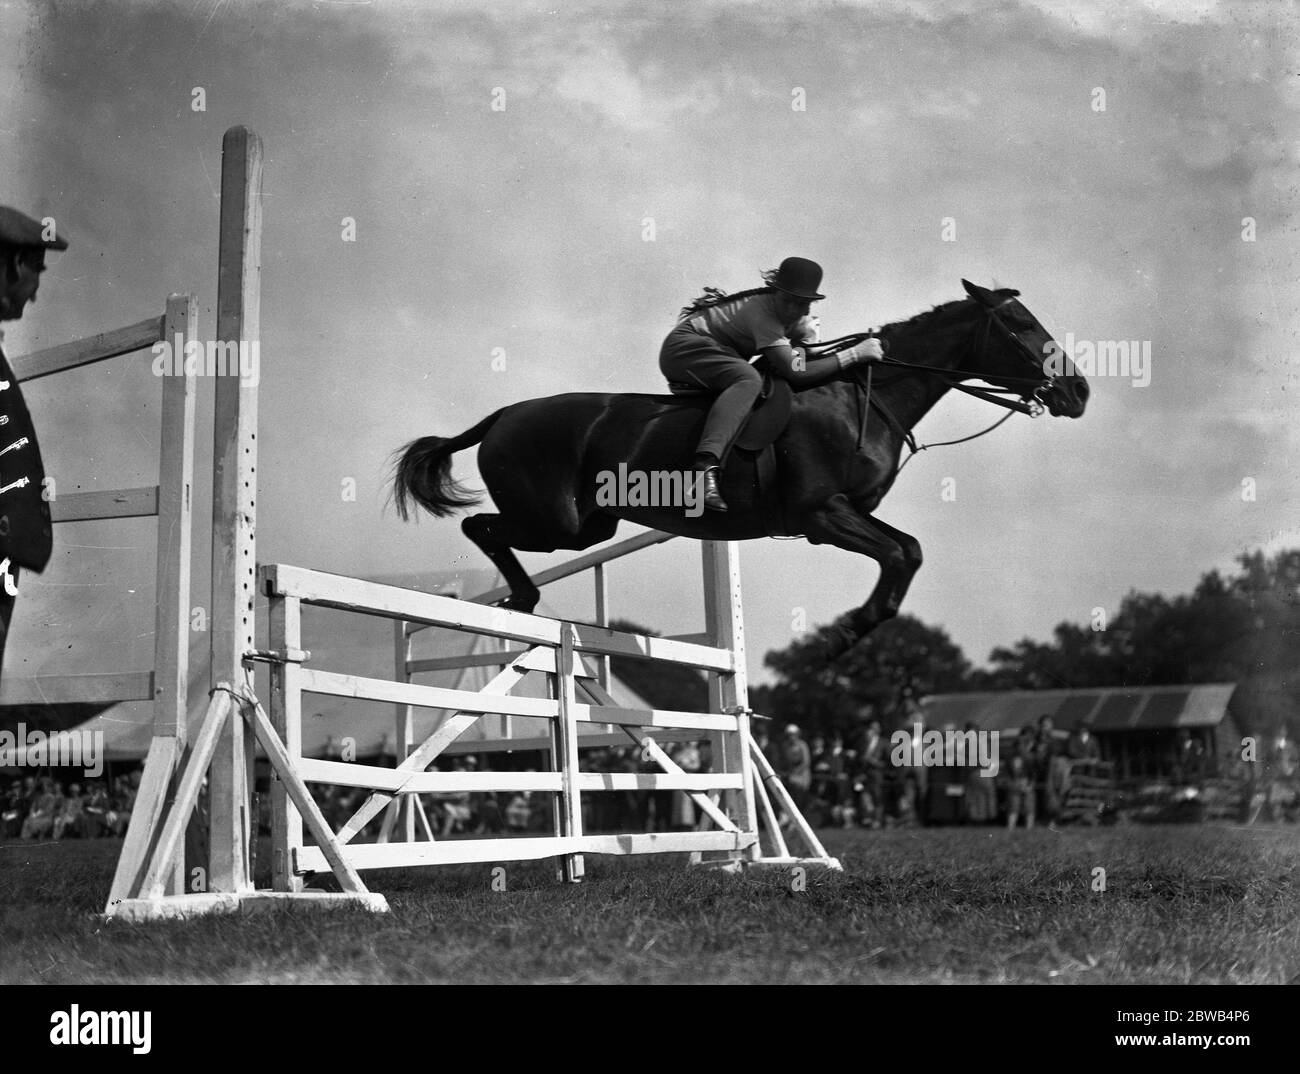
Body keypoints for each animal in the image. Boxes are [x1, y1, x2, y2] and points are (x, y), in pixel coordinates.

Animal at [392, 280, 1086, 657]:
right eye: (1020, 323)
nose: (1078, 391)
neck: (862, 396)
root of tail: (502, 415)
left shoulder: (843, 514)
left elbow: (908, 551)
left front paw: (852, 632)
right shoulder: (820, 513)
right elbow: (900, 553)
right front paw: (841, 638)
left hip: (590, 527)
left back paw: (522, 600)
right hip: (556, 522)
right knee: (480, 527)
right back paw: (522, 597)